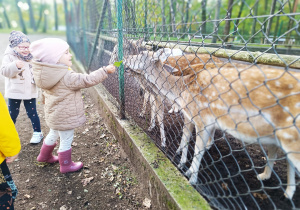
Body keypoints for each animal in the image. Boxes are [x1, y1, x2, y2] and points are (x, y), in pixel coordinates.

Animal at [124, 48, 300, 199]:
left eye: (141, 54)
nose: (125, 58)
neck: (182, 89)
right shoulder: (192, 116)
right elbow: (186, 138)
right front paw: (180, 162)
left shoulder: (201, 118)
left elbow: (197, 148)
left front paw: (190, 176)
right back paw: (278, 186)